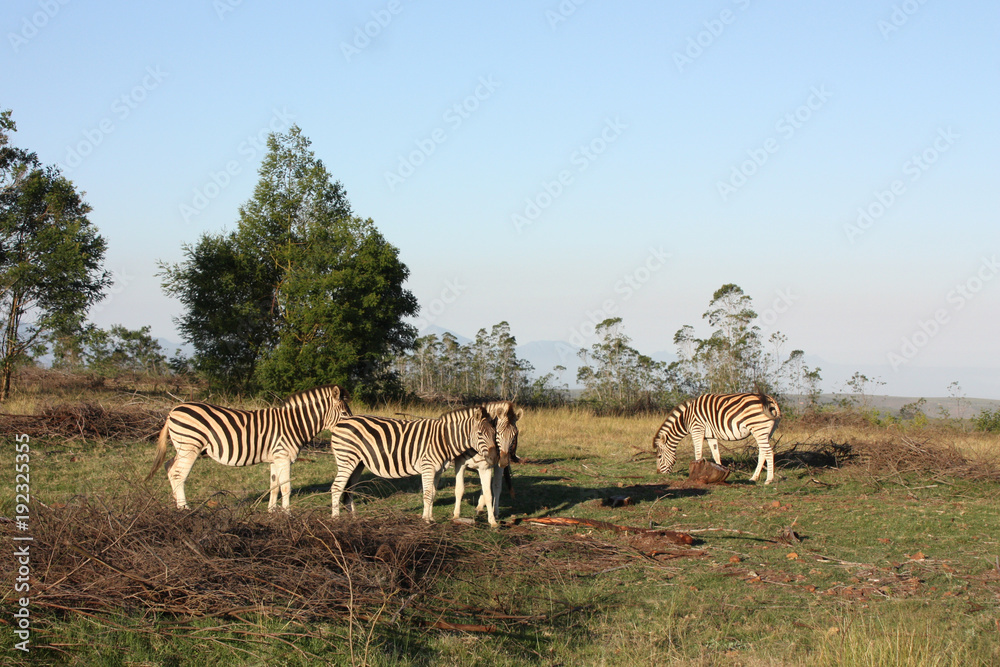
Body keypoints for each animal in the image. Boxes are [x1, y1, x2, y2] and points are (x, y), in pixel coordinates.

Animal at [146, 385, 351, 511]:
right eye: (343, 413)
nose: (350, 426)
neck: (293, 424)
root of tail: (173, 410)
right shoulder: (284, 456)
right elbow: (286, 487)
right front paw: (287, 514)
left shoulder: (275, 458)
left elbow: (274, 486)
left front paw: (272, 511)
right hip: (190, 446)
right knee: (178, 474)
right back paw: (184, 507)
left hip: (182, 447)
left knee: (169, 466)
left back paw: (176, 503)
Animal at [328, 406, 504, 525]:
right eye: (480, 434)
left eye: (494, 434)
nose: (495, 457)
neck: (444, 438)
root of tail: (342, 421)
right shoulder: (428, 467)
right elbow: (427, 494)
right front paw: (425, 520)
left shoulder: (438, 470)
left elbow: (433, 493)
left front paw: (430, 518)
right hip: (346, 459)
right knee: (337, 487)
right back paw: (336, 519)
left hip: (358, 463)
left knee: (349, 488)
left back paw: (353, 517)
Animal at [653, 393, 781, 484]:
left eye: (659, 457)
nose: (658, 473)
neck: (685, 419)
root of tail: (771, 400)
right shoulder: (710, 436)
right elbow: (716, 455)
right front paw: (721, 474)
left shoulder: (697, 429)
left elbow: (698, 453)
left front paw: (695, 472)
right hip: (766, 431)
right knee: (763, 453)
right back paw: (754, 478)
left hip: (758, 428)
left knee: (769, 452)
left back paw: (768, 480)